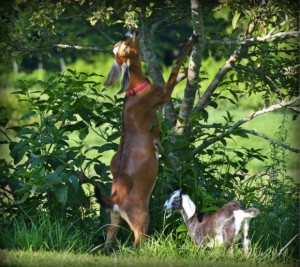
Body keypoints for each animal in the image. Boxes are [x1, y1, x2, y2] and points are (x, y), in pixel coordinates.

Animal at [94, 29, 197, 251]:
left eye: (119, 45)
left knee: (108, 242)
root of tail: (115, 200)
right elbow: (173, 70)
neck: (135, 90)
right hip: (141, 219)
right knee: (137, 245)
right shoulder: (162, 95)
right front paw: (192, 45)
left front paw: (187, 70)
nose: (129, 31)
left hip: (114, 221)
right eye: (125, 46)